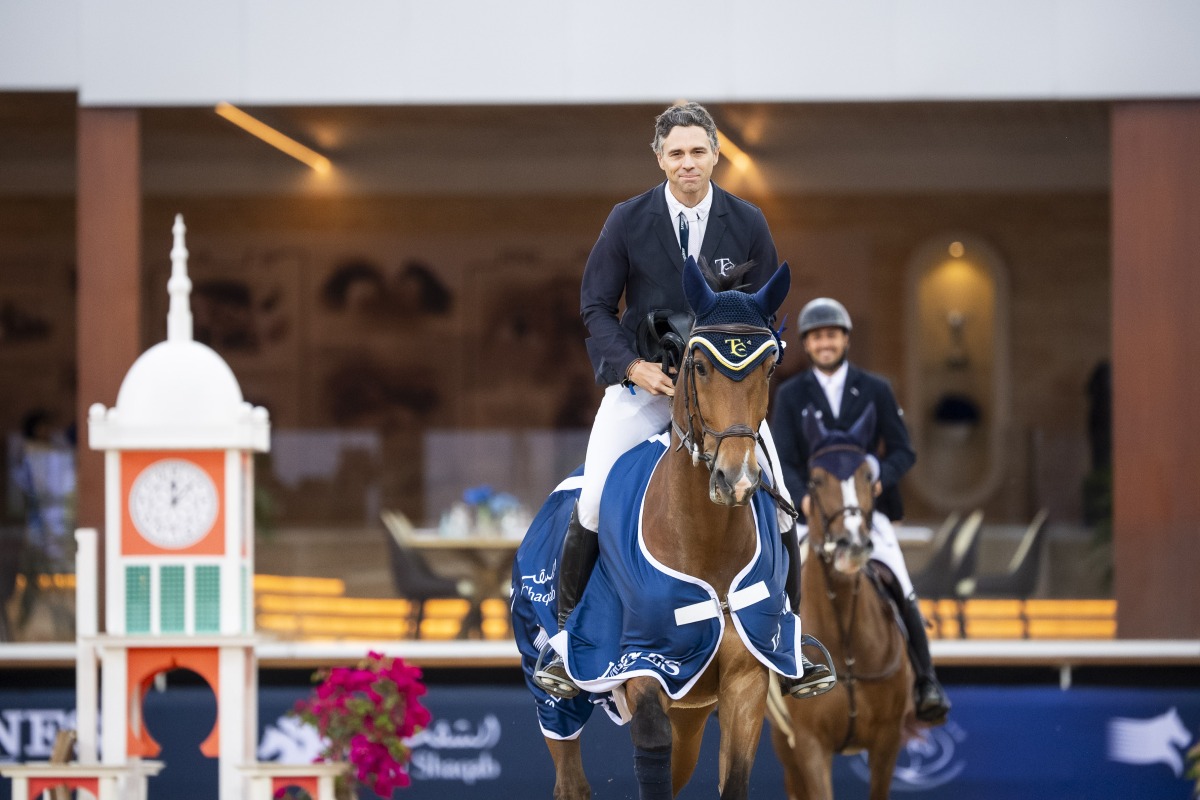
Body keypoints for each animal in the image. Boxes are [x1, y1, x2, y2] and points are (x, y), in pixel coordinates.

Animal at [763, 407, 912, 800]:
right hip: (784, 744)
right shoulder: (810, 745)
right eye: (815, 480)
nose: (853, 544)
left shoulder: (887, 742)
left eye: (868, 475)